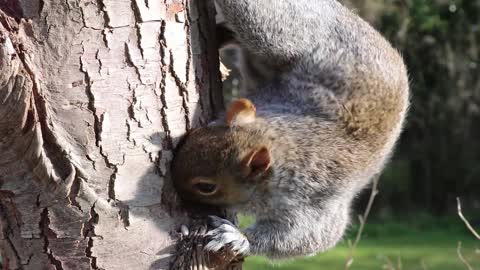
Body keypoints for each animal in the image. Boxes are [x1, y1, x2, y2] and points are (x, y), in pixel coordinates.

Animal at [171, 0, 406, 258]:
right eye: (197, 133)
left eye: (206, 187)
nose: (172, 185)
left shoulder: (312, 201)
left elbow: (309, 237)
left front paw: (237, 237)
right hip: (279, 37)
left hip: (283, 35)